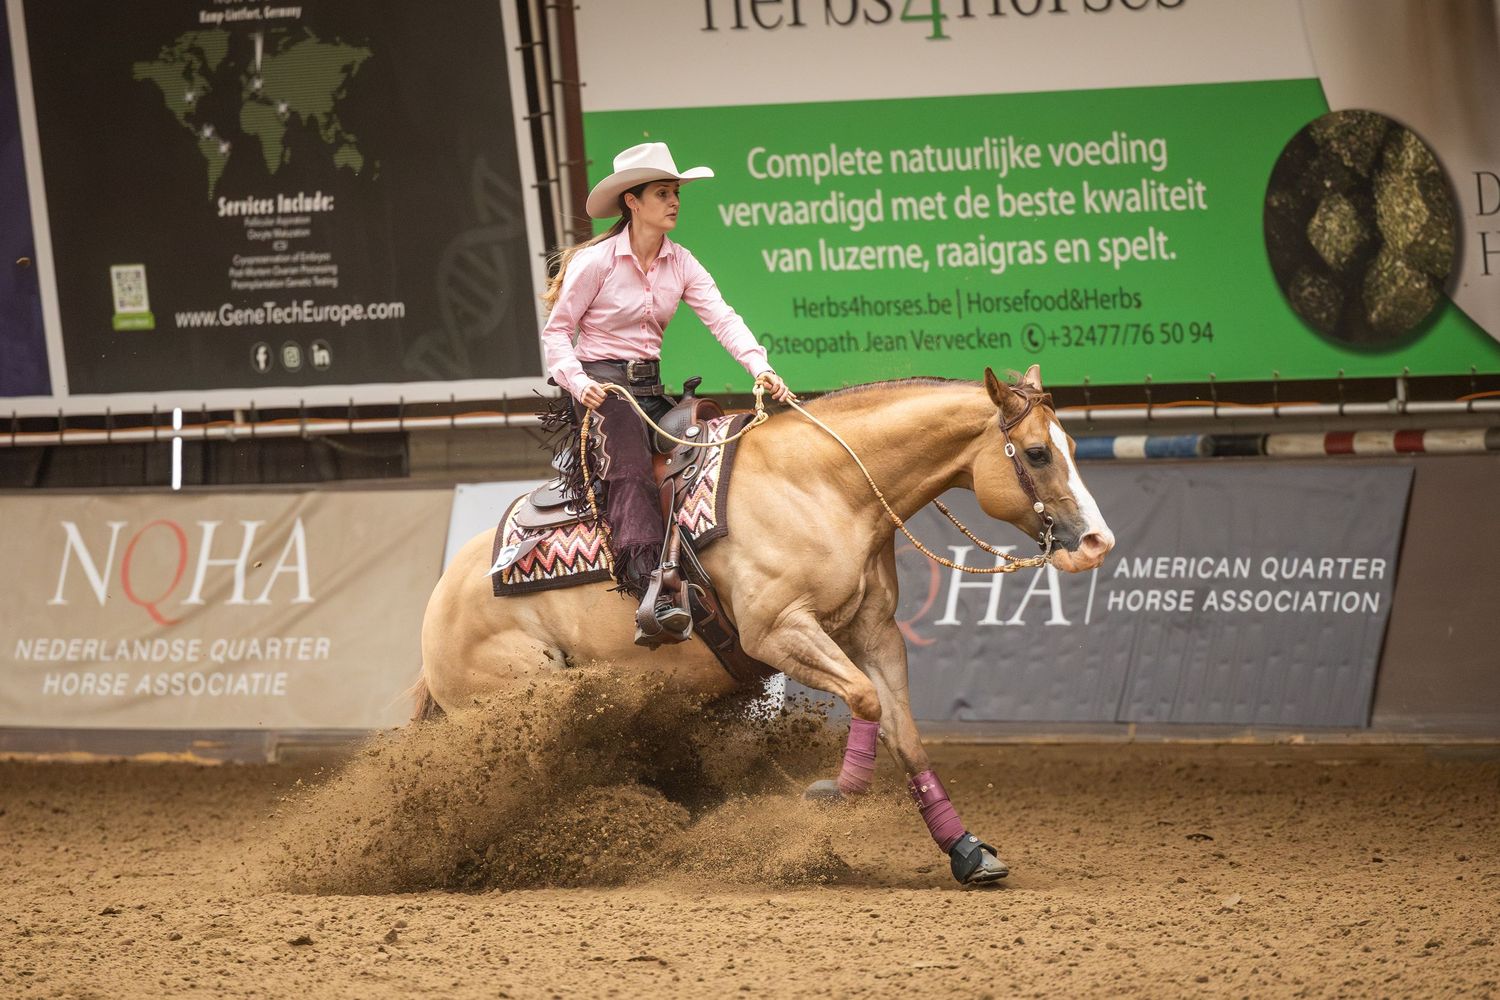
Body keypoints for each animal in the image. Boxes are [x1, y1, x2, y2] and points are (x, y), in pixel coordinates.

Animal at [415, 364, 1114, 884]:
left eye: (1070, 448)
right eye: (1037, 453)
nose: (1096, 542)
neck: (824, 486)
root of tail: (439, 604)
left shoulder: (874, 632)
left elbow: (906, 734)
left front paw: (966, 851)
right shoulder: (779, 632)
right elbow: (864, 699)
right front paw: (832, 796)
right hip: (519, 701)